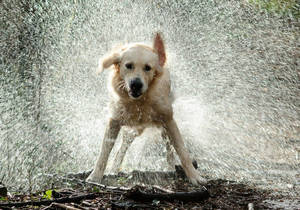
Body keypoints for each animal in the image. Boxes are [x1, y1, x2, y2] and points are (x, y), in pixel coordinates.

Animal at [85, 32, 205, 185]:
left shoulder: (168, 120)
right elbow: (104, 152)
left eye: (148, 67)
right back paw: (114, 169)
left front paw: (195, 177)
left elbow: (182, 151)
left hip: (161, 127)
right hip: (133, 130)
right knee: (122, 148)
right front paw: (95, 176)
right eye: (128, 65)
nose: (136, 84)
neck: (139, 102)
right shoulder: (114, 121)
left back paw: (171, 167)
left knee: (168, 147)